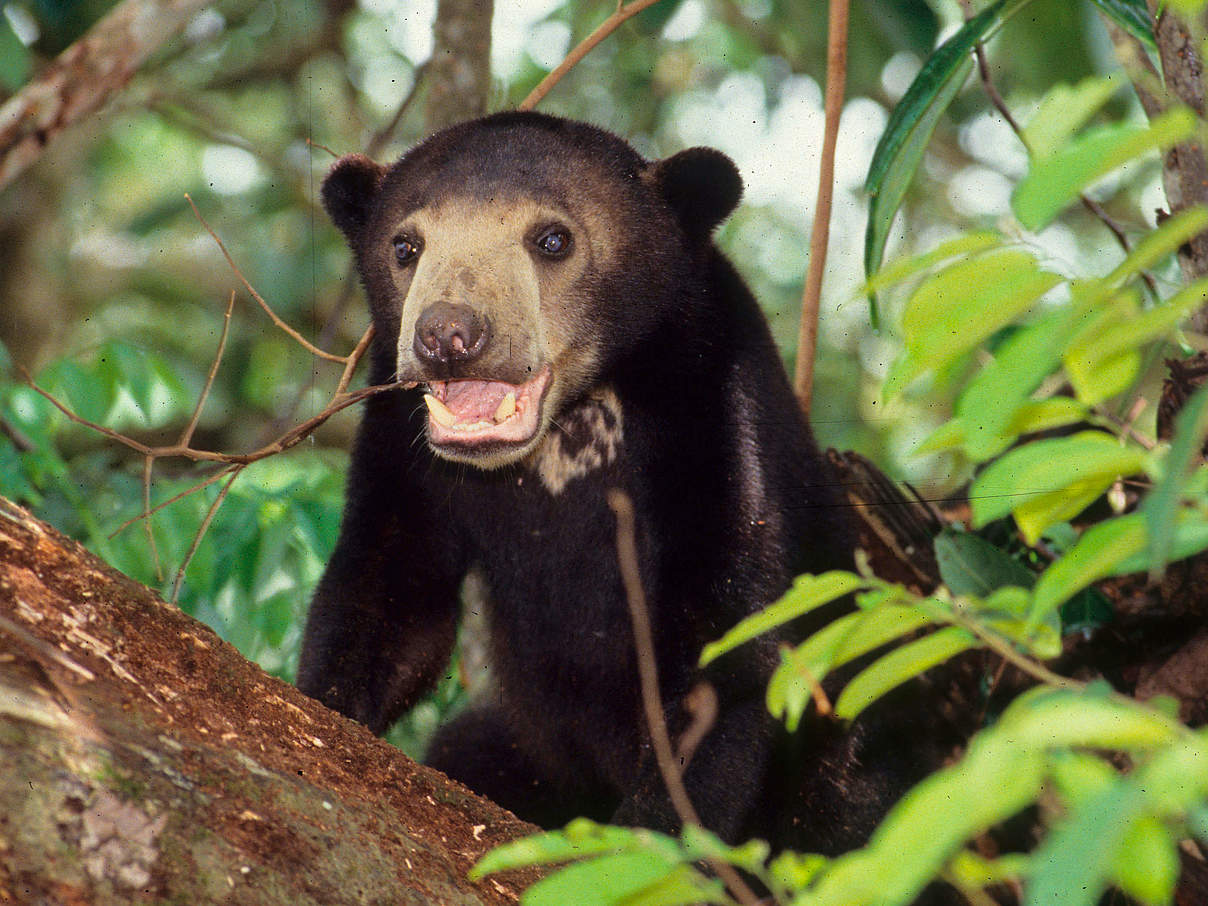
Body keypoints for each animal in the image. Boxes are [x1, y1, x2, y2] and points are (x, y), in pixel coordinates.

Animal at [297, 109, 918, 855]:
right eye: (405, 245)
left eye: (553, 239)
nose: (448, 335)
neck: (568, 430)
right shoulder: (403, 434)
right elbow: (391, 586)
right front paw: (329, 700)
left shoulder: (713, 419)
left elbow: (728, 650)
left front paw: (643, 844)